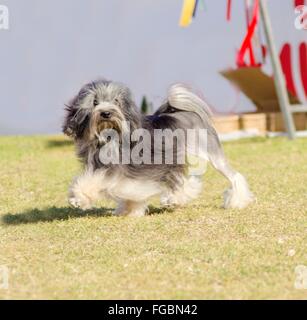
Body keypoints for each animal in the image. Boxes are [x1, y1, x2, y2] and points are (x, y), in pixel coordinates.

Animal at [62, 79, 255, 216]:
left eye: (116, 101)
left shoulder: (125, 170)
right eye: (94, 102)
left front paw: (78, 198)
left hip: (210, 153)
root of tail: (181, 113)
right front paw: (130, 210)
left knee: (233, 176)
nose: (106, 113)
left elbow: (99, 181)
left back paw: (236, 201)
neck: (108, 137)